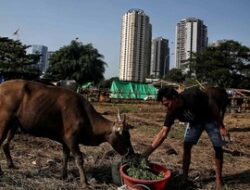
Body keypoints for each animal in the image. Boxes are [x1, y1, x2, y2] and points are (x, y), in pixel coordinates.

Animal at [0, 79, 135, 188]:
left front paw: (63, 175)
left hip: (13, 125)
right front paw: (84, 182)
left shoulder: (65, 140)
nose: (132, 154)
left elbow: (65, 156)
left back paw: (11, 164)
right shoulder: (71, 138)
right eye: (125, 136)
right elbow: (79, 159)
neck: (84, 115)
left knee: (5, 144)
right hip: (4, 122)